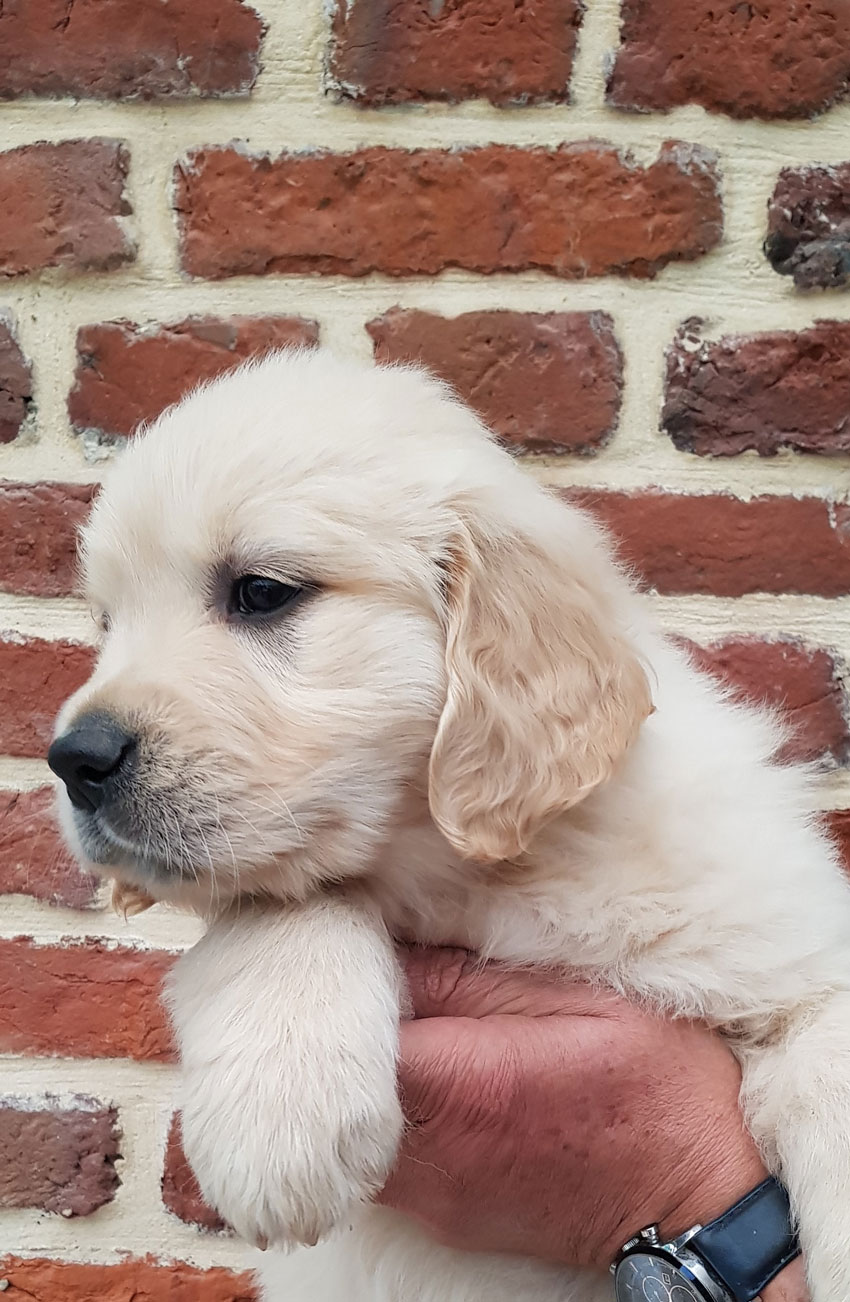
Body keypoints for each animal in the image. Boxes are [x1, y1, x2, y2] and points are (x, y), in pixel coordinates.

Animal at [51, 348, 848, 1302]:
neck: (475, 875)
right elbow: (286, 903)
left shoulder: (787, 938)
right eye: (107, 625)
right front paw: (281, 1120)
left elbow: (829, 1052)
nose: (73, 759)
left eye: (262, 592)